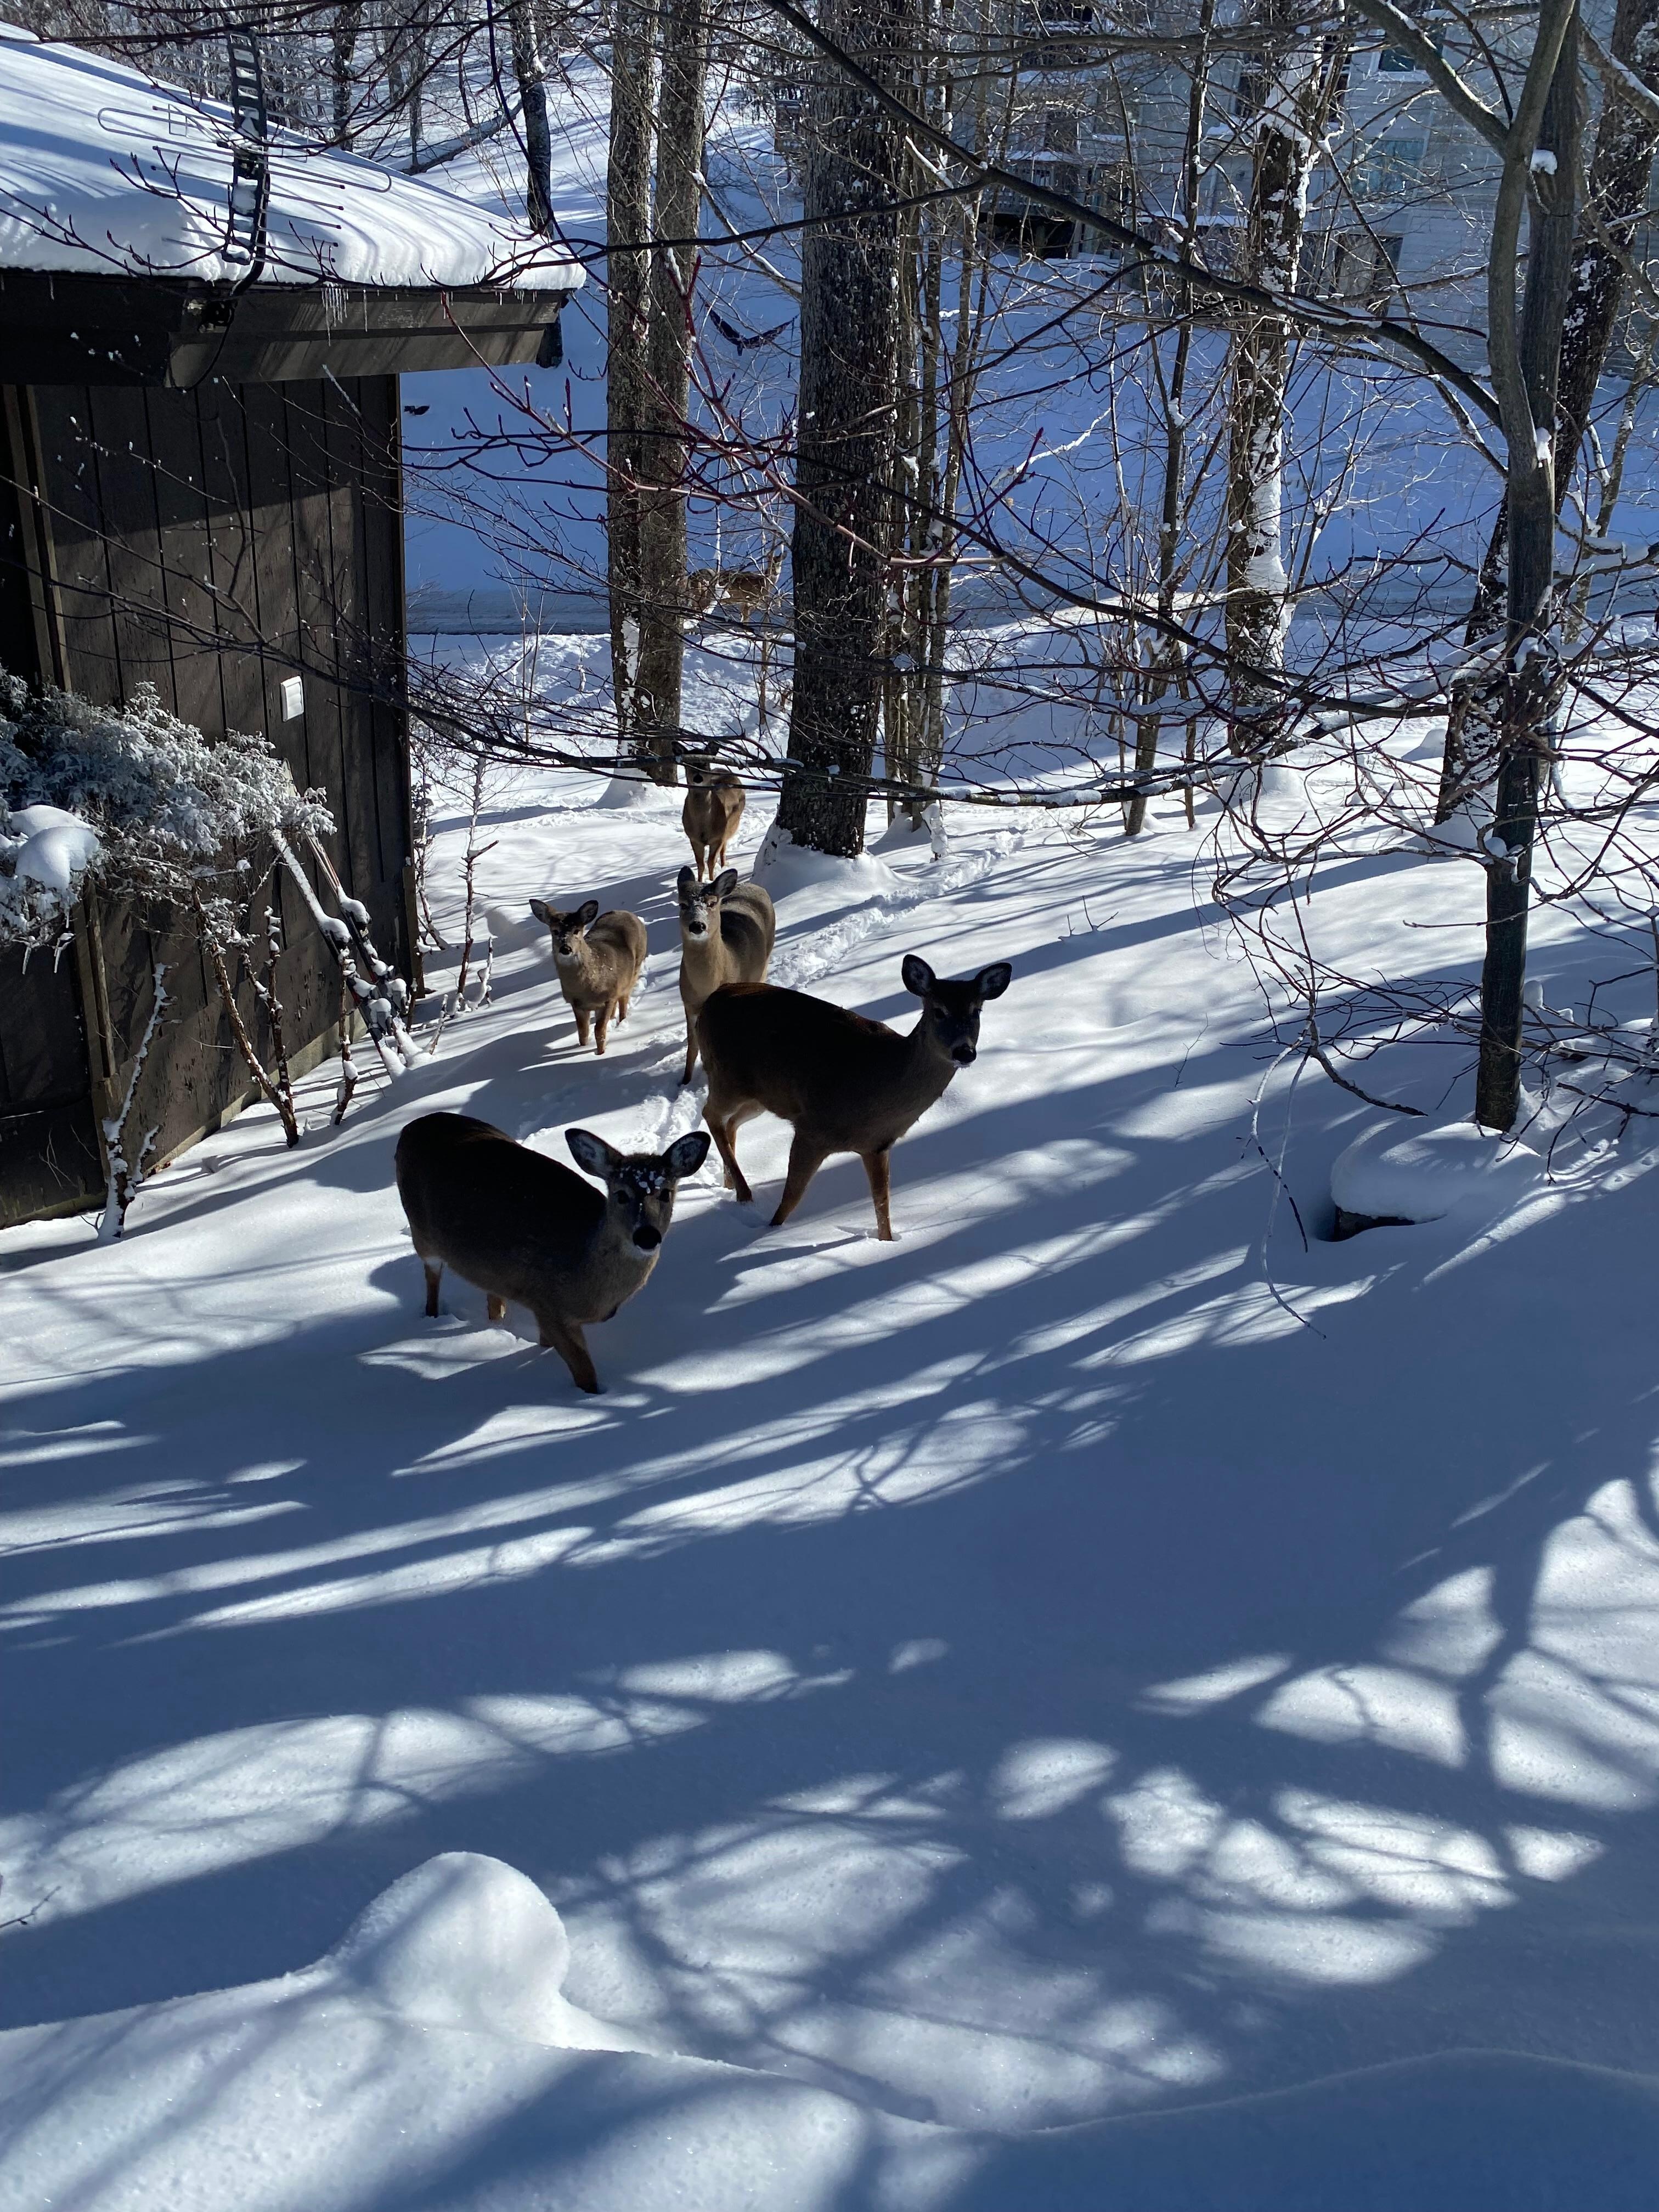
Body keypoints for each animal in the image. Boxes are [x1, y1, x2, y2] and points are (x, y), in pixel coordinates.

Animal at [396, 1113, 711, 1394]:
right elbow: (586, 1376)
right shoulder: (549, 1306)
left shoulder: (539, 1305)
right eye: (621, 1194)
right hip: (421, 1231)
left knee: (491, 1295)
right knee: (432, 1276)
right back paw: (433, 1316)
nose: (647, 1236)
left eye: (666, 1193)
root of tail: (411, 1127)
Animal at [528, 897, 647, 1055]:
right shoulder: (577, 1004)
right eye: (555, 931)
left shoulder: (607, 997)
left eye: (577, 930)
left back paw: (621, 1022)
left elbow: (599, 1030)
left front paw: (600, 1053)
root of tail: (628, 913)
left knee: (624, 998)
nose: (566, 948)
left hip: (636, 967)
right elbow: (582, 1031)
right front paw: (583, 1047)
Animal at [675, 865, 776, 1085]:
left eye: (712, 903)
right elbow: (692, 1047)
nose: (697, 926)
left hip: (763, 964)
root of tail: (755, 886)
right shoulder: (688, 1003)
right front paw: (685, 1081)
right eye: (682, 904)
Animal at [681, 754, 747, 880]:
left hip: (729, 827)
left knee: (723, 849)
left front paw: (712, 880)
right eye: (688, 763)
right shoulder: (693, 838)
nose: (698, 778)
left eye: (705, 763)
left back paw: (724, 866)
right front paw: (700, 881)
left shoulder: (718, 837)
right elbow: (700, 864)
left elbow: (711, 862)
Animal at [696, 954, 1012, 1241]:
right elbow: (792, 1198)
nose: (965, 1052)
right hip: (728, 1076)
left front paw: (886, 1244)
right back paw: (744, 1192)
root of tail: (714, 997)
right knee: (710, 1114)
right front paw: (768, 1232)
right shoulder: (813, 1129)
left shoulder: (877, 1146)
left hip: (760, 1098)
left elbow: (883, 1205)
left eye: (977, 1011)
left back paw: (731, 1185)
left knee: (730, 1122)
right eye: (938, 1010)